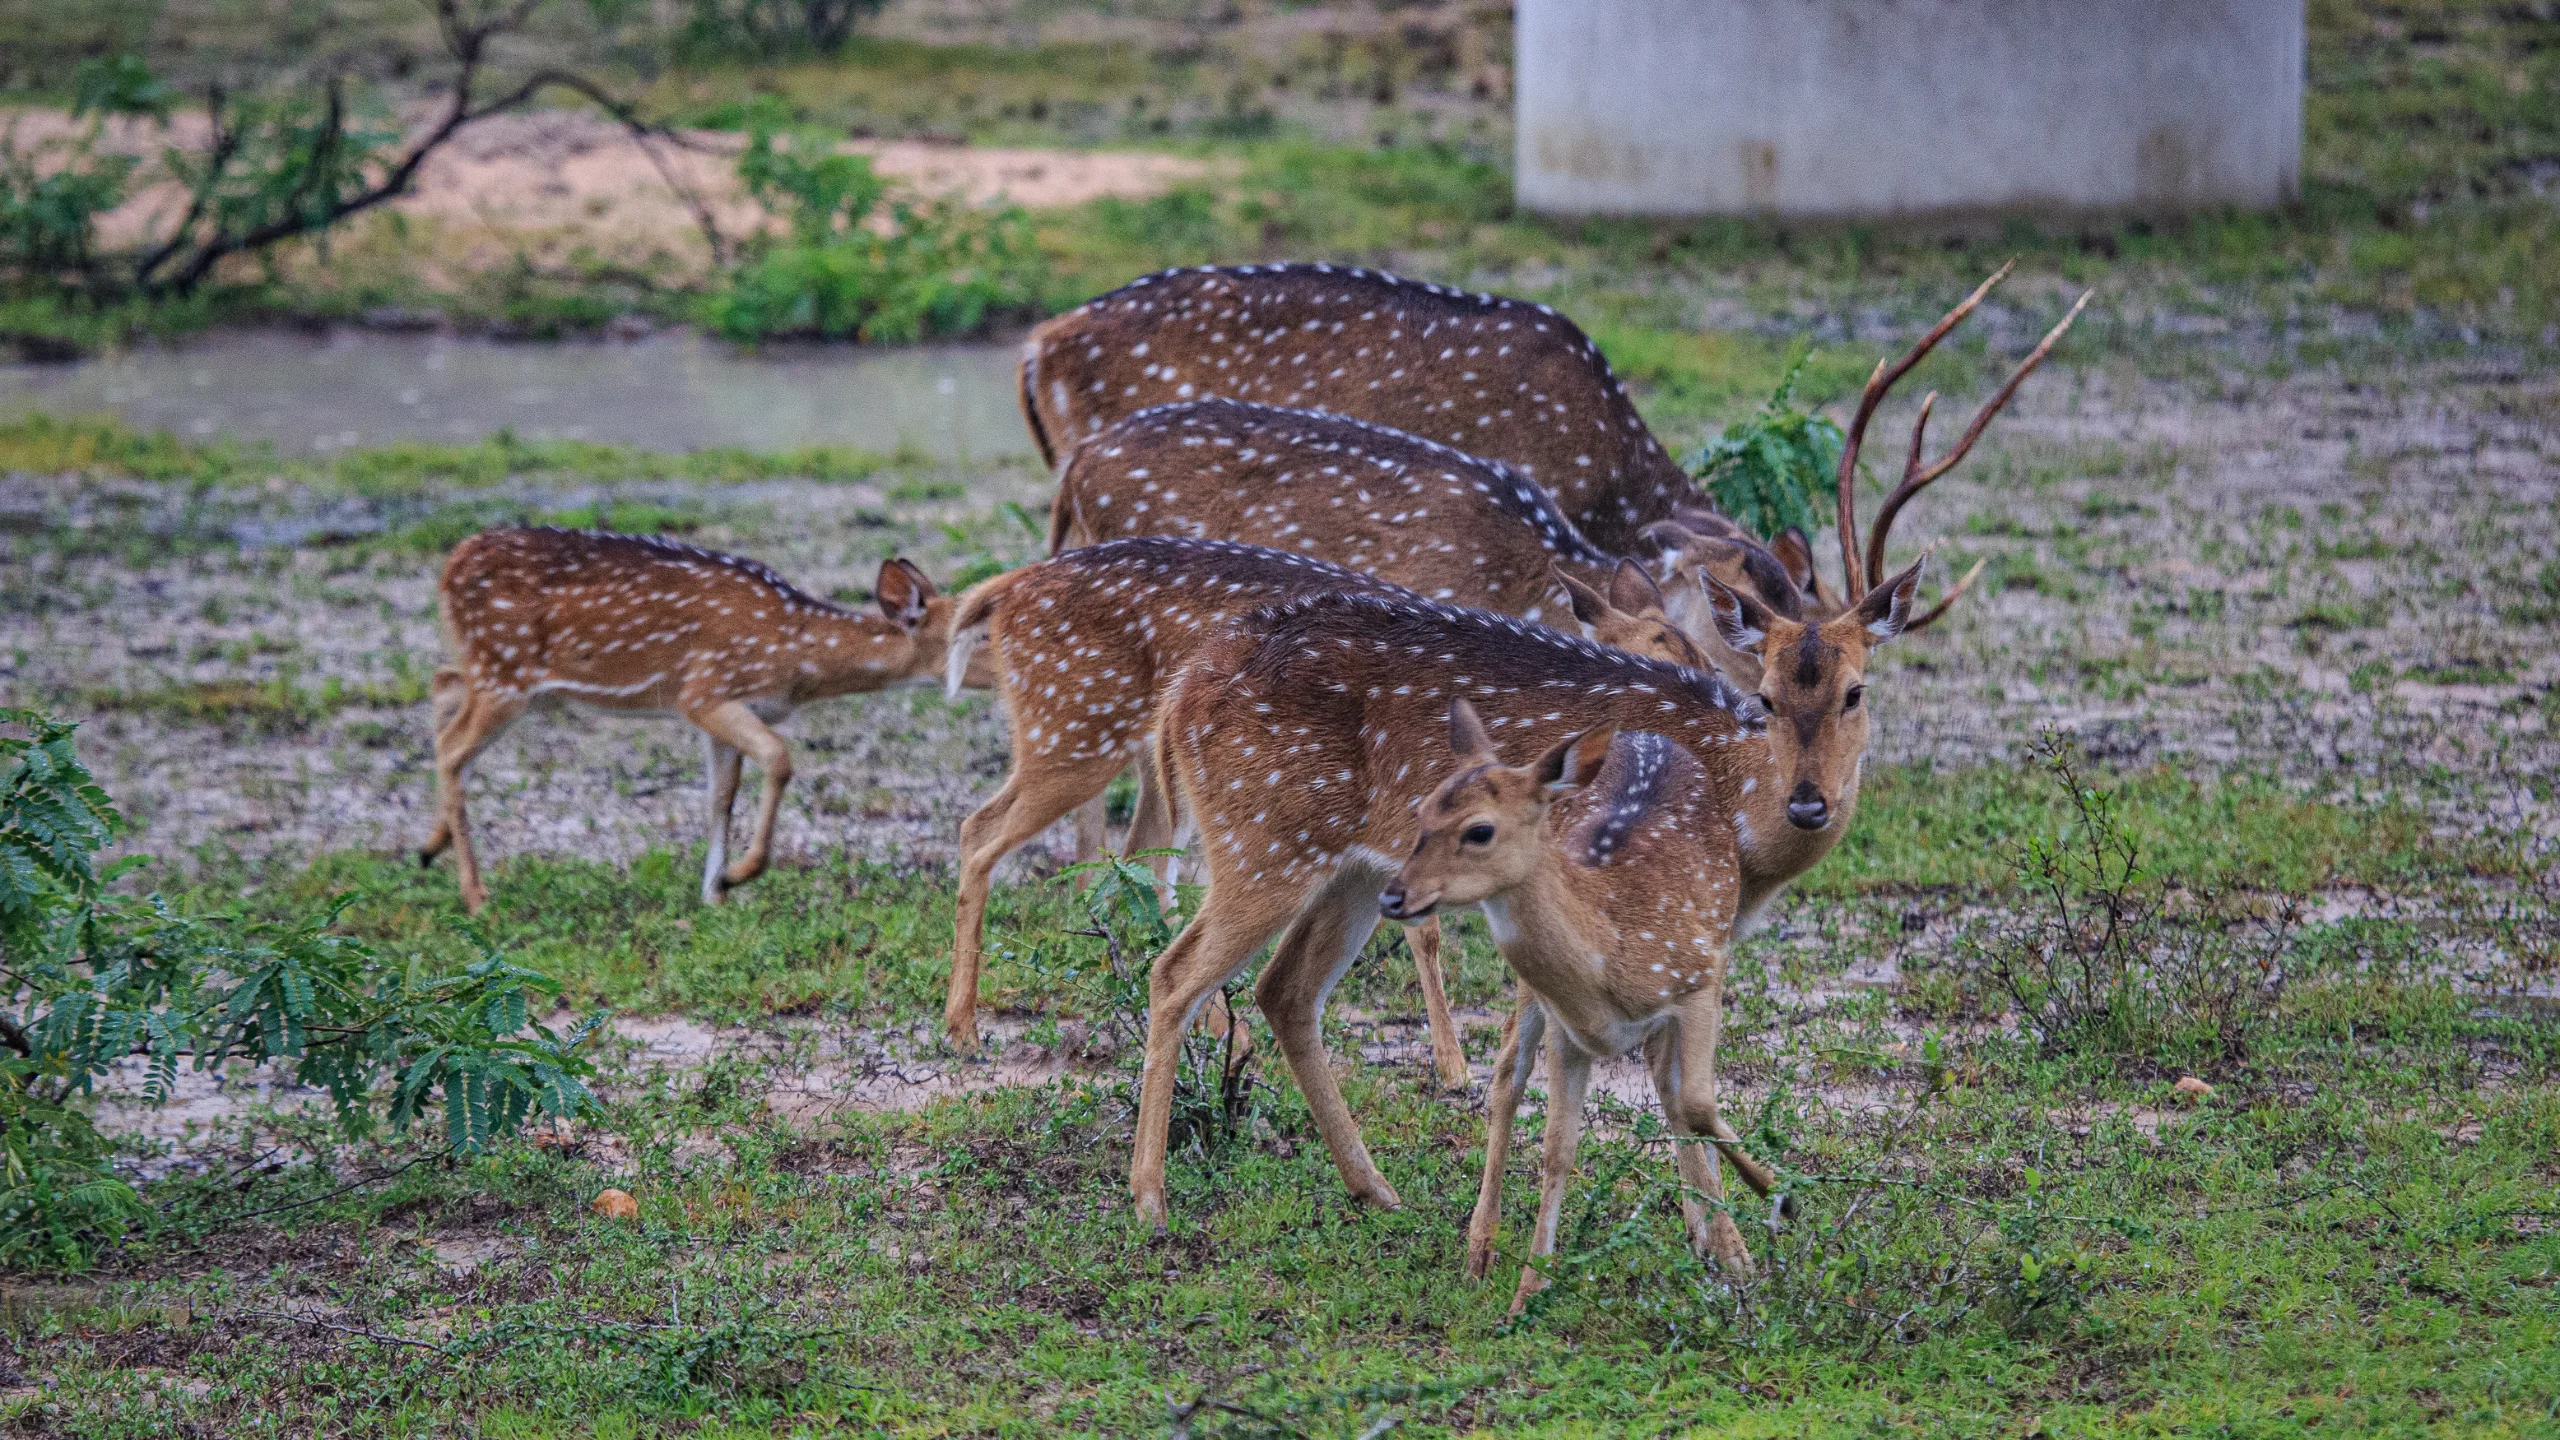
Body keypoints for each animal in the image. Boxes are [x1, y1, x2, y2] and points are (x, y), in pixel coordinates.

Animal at [421, 528, 955, 915]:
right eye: (965, 633)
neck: (795, 654)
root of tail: (451, 563)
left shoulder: (727, 707)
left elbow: (721, 796)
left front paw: (714, 893)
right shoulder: (705, 692)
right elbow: (778, 758)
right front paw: (738, 875)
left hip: (503, 677)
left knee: (444, 684)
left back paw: (430, 847)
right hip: (505, 672)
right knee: (451, 747)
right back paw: (476, 897)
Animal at [938, 536, 1703, 1082]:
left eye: (1693, 648)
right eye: (1657, 654)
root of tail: (1002, 591)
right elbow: (1425, 930)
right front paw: (1456, 1068)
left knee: (1133, 864)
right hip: (1074, 729)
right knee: (983, 830)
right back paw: (965, 1030)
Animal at [1118, 270, 2085, 1239]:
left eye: (1856, 691)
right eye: (1768, 695)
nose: (1810, 800)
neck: (1740, 829)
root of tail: (1183, 698)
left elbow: (1669, 1089)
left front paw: (1708, 1240)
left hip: (1352, 866)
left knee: (1285, 989)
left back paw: (1376, 1189)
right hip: (1263, 836)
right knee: (1173, 973)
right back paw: (1151, 1200)